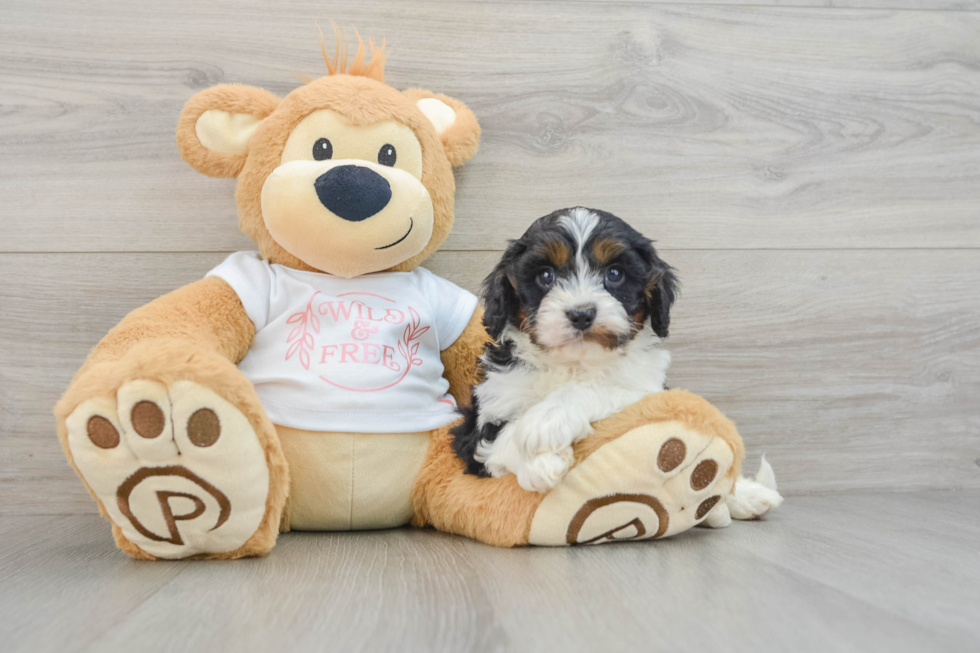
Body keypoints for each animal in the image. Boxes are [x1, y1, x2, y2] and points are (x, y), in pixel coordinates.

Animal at [454, 206, 676, 492]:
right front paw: (540, 463)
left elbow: (597, 386)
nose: (581, 314)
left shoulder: (646, 389)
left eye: (615, 274)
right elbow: (496, 439)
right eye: (546, 276)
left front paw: (547, 420)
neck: (571, 362)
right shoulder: (482, 418)